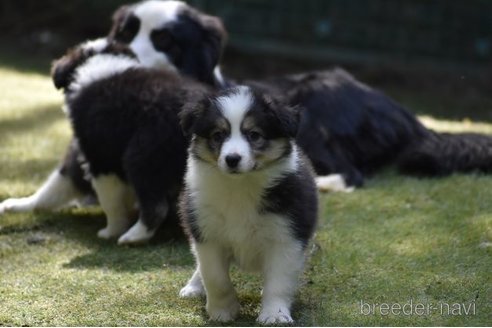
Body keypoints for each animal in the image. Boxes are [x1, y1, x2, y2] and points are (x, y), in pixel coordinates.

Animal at [52, 38, 212, 243]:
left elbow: (110, 202)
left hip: (142, 155)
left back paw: (133, 236)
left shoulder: (101, 158)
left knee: (156, 206)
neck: (99, 61)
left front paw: (110, 231)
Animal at [179, 86, 318, 324]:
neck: (240, 186)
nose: (232, 159)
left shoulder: (287, 236)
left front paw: (274, 315)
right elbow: (215, 276)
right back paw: (194, 287)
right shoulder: (207, 232)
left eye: (254, 135)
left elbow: (278, 281)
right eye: (218, 135)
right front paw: (222, 311)